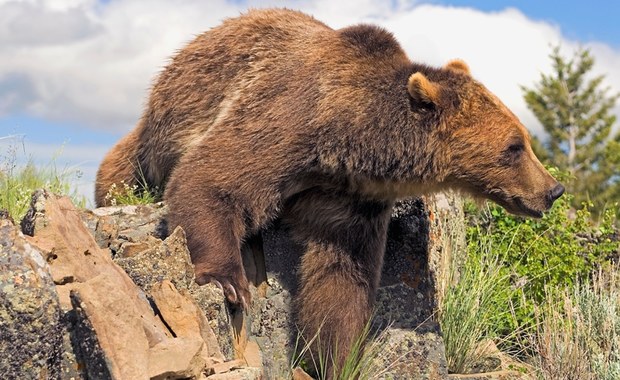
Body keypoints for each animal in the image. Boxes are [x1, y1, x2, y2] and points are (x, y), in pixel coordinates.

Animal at [95, 7, 560, 372]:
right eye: (515, 146)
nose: (553, 190)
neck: (347, 141)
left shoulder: (352, 198)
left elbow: (340, 276)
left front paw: (331, 354)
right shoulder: (285, 118)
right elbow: (212, 178)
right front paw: (231, 282)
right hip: (160, 126)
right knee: (121, 167)